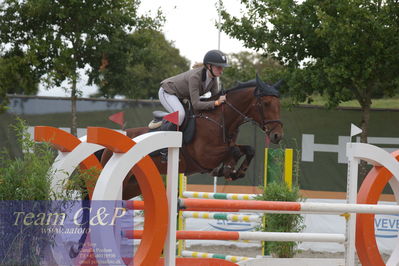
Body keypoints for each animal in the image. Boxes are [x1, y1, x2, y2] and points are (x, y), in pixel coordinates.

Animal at [99, 75, 282, 200]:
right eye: (266, 103)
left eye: (278, 104)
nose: (277, 135)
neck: (220, 119)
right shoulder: (205, 156)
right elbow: (234, 152)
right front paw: (228, 170)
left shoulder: (227, 146)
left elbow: (248, 149)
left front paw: (238, 171)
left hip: (132, 186)